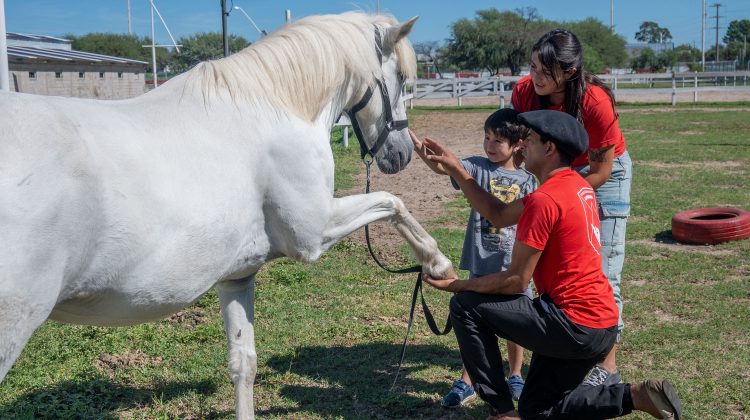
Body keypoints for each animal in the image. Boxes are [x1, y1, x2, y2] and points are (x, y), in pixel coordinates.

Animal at [0, 11, 456, 418]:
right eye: (400, 79)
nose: (402, 153)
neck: (273, 107)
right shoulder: (314, 233)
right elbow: (392, 203)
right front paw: (438, 263)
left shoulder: (236, 277)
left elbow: (243, 364)